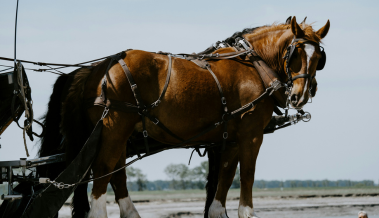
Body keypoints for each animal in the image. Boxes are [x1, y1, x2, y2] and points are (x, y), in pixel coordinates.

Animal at [37, 15, 330, 218]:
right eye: (295, 53)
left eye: (319, 57)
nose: (301, 95)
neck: (253, 65)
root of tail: (96, 70)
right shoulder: (251, 134)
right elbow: (247, 173)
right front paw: (247, 212)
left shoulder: (229, 138)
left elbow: (224, 176)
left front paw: (217, 211)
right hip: (115, 127)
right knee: (103, 171)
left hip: (117, 132)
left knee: (116, 174)